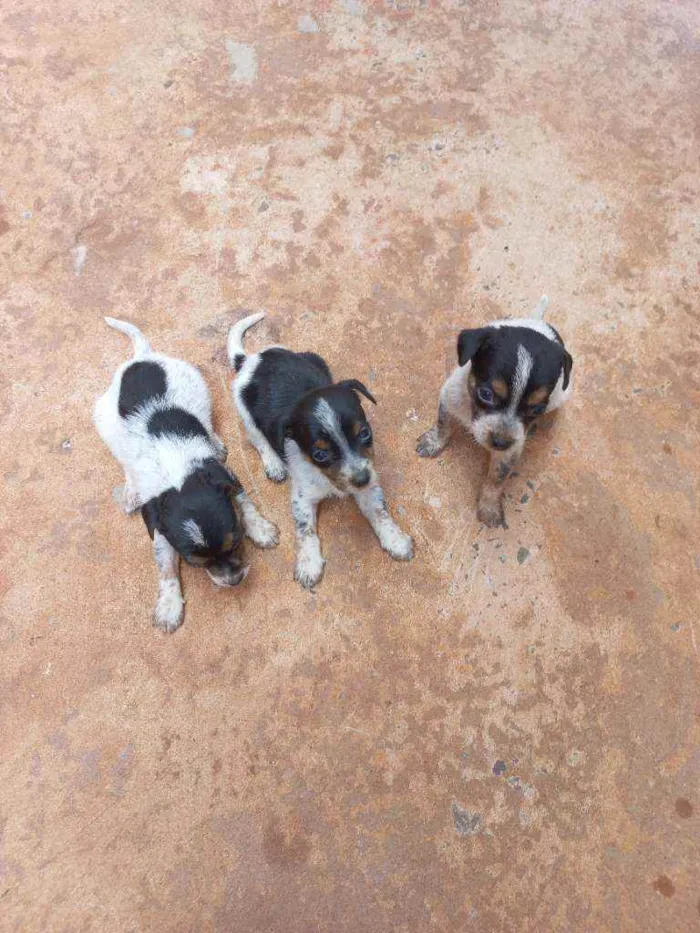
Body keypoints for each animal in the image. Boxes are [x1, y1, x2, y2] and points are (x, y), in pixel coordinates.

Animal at [93, 318, 278, 632]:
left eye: (236, 541)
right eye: (194, 561)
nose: (234, 581)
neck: (177, 474)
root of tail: (141, 358)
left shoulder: (226, 476)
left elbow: (246, 504)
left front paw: (261, 529)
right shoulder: (158, 526)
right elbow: (165, 568)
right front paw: (169, 606)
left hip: (199, 391)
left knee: (206, 421)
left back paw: (216, 441)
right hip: (103, 422)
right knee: (124, 459)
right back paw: (130, 491)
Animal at [230, 314, 416, 588]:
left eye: (364, 433)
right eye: (320, 454)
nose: (362, 479)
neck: (328, 480)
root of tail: (251, 359)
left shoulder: (369, 482)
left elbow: (380, 512)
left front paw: (395, 539)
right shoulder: (301, 498)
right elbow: (306, 531)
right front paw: (309, 563)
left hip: (315, 357)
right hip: (244, 412)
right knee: (258, 439)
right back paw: (274, 464)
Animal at [416, 294, 568, 528]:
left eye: (536, 408)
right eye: (486, 394)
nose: (500, 442)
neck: (470, 411)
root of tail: (538, 322)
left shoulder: (511, 450)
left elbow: (497, 478)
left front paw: (489, 507)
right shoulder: (449, 397)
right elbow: (442, 425)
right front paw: (434, 443)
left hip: (561, 395)